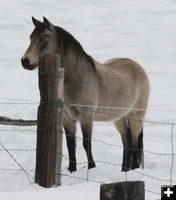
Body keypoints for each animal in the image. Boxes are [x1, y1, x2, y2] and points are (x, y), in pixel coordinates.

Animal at [21, 17, 150, 173]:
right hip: (119, 117)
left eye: (42, 38)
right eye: (30, 38)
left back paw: (134, 169)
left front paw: (91, 168)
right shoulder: (67, 119)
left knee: (134, 141)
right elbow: (70, 144)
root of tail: (138, 67)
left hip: (135, 116)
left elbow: (86, 143)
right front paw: (72, 169)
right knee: (126, 140)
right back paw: (124, 170)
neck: (77, 78)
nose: (25, 61)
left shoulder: (86, 117)